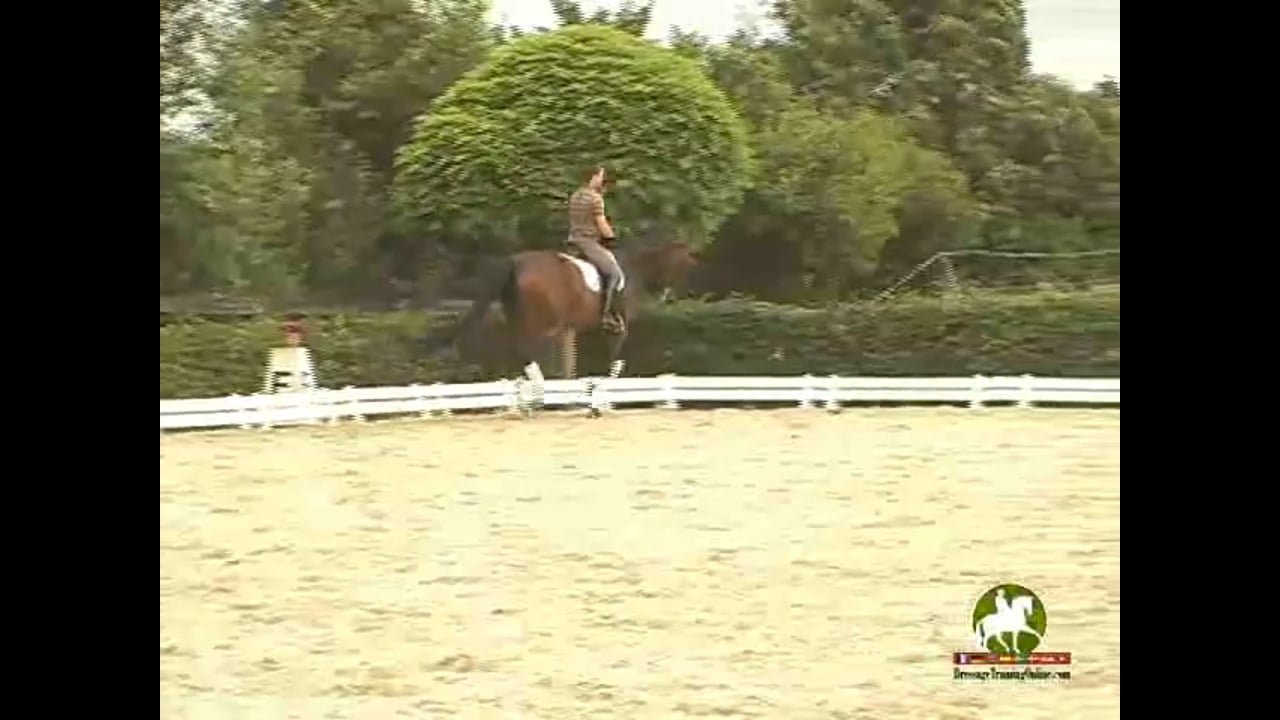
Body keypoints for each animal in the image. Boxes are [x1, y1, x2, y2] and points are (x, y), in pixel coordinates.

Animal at [420, 240, 699, 408]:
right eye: (686, 265)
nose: (672, 296)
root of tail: (516, 262)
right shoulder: (618, 327)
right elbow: (615, 359)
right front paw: (602, 393)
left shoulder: (571, 329)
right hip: (540, 323)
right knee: (526, 350)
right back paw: (538, 390)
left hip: (522, 318)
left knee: (518, 349)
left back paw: (528, 394)